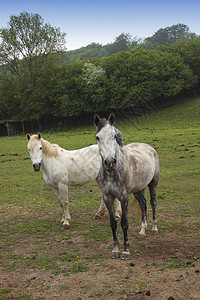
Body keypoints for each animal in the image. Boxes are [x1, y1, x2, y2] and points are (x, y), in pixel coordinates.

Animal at [94, 113, 160, 260]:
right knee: (143, 204)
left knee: (152, 203)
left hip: (153, 184)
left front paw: (125, 251)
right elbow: (113, 223)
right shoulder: (107, 197)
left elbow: (124, 223)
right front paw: (115, 250)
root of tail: (149, 148)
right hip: (137, 190)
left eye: (114, 135)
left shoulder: (124, 198)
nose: (110, 162)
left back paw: (154, 228)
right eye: (97, 137)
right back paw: (142, 230)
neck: (112, 173)